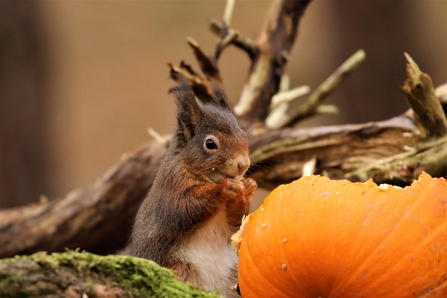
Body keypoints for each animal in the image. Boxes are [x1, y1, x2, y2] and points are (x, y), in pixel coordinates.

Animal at [129, 78, 256, 296]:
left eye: (244, 135)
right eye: (210, 143)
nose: (243, 164)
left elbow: (235, 221)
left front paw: (248, 187)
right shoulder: (172, 185)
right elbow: (183, 209)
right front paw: (225, 188)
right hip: (178, 268)